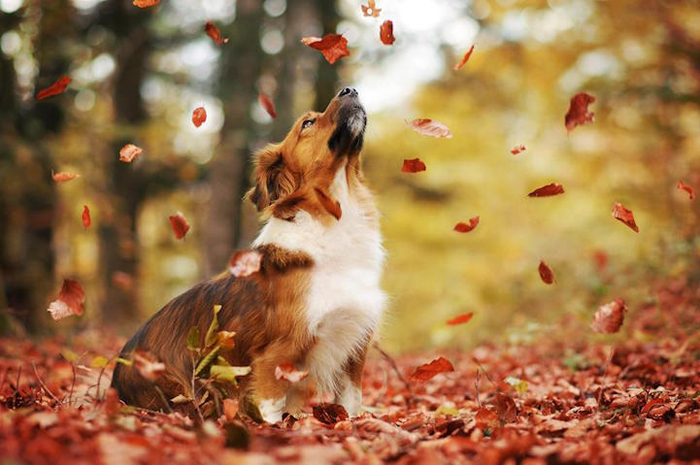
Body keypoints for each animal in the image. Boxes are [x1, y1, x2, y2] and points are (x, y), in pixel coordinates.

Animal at [111, 86, 386, 420]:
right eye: (307, 123)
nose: (350, 89)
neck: (332, 220)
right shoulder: (275, 357)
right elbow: (269, 411)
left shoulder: (354, 349)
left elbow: (350, 405)